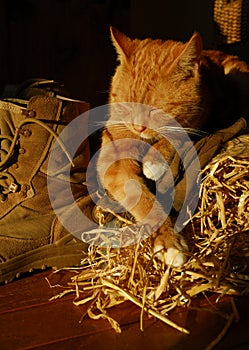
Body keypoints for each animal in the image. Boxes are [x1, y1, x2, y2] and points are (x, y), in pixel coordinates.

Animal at [96, 28, 249, 268]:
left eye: (155, 110)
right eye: (129, 105)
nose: (138, 127)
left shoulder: (199, 118)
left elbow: (177, 132)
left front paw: (155, 160)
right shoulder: (114, 164)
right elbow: (144, 201)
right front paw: (168, 242)